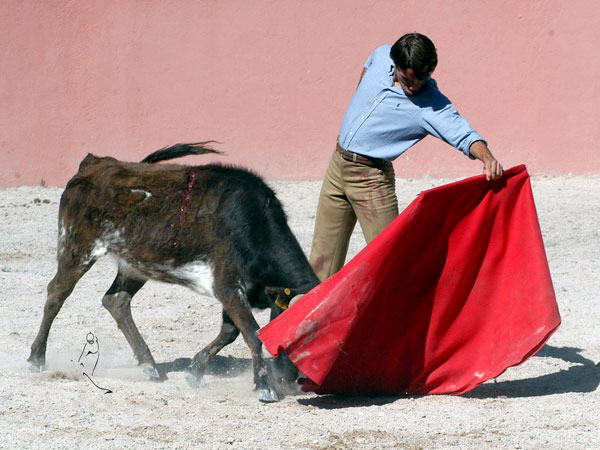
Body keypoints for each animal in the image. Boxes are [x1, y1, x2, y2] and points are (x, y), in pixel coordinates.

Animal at [29, 142, 318, 402]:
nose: (294, 379)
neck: (253, 223)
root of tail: (94, 164)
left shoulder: (236, 291)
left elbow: (230, 332)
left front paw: (195, 371)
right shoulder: (227, 285)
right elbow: (252, 333)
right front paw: (264, 387)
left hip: (135, 264)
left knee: (116, 300)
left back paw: (149, 365)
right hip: (76, 248)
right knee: (57, 293)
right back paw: (36, 358)